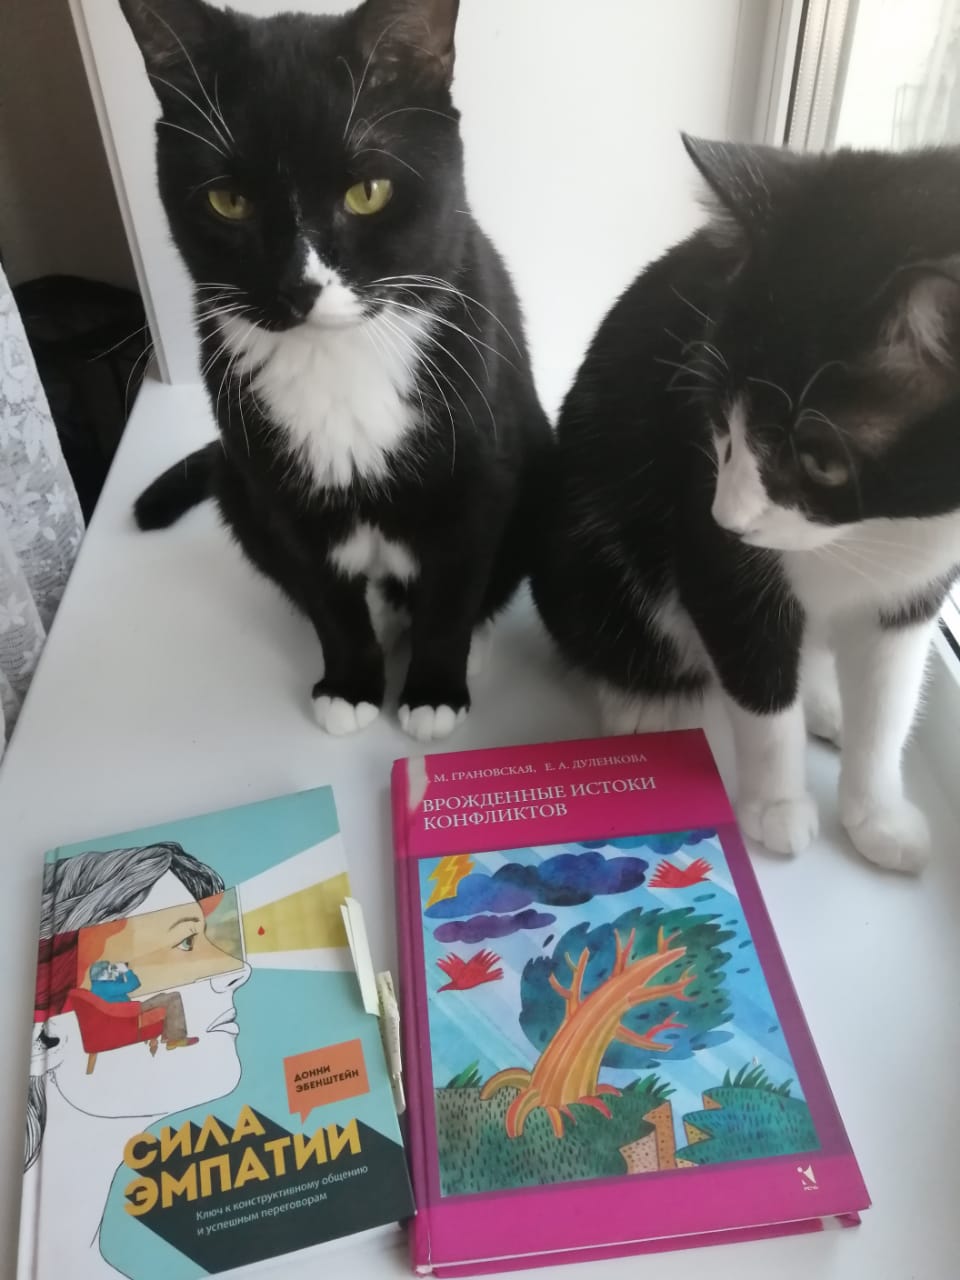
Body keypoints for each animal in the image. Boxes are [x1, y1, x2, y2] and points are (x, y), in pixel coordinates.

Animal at [121, 0, 551, 741]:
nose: (299, 287)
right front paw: (351, 685)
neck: (337, 361)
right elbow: (326, 600)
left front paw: (435, 692)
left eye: (367, 192)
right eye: (229, 202)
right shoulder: (273, 490)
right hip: (235, 483)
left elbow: (453, 593)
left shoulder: (480, 474)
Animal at [531, 134, 960, 873]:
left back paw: (826, 702)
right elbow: (755, 672)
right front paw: (778, 805)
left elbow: (892, 695)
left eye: (819, 459)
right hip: (578, 537)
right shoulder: (705, 539)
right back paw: (642, 698)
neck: (876, 530)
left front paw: (877, 814)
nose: (727, 517)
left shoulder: (920, 580)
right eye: (717, 414)